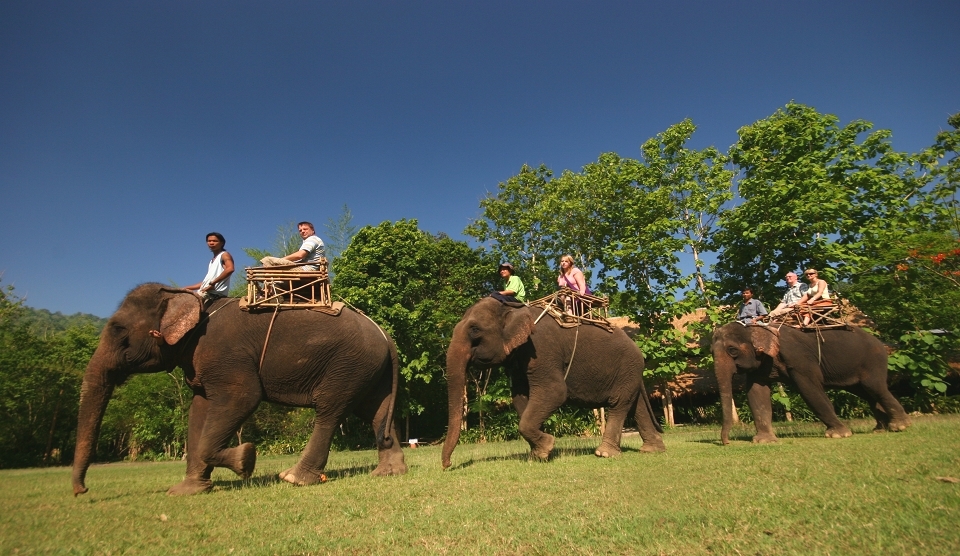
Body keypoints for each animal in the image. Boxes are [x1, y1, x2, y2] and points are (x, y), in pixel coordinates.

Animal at [71, 284, 406, 498]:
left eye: (118, 330)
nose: (81, 491)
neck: (191, 299)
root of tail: (385, 335)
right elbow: (198, 410)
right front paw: (186, 491)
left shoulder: (226, 355)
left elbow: (243, 397)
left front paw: (246, 459)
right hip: (367, 368)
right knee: (377, 412)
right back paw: (388, 473)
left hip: (347, 365)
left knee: (330, 410)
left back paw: (294, 479)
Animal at [440, 298, 660, 466]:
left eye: (475, 329)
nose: (448, 465)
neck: (514, 308)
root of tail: (638, 348)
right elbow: (520, 396)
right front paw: (539, 454)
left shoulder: (541, 348)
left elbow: (555, 392)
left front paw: (546, 447)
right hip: (629, 372)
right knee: (636, 405)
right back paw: (652, 449)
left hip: (627, 367)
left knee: (619, 403)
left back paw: (605, 453)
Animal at [712, 322, 908, 444]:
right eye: (711, 353)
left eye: (732, 350)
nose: (727, 442)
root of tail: (881, 342)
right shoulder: (761, 365)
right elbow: (756, 394)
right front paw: (764, 440)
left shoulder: (799, 357)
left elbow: (810, 389)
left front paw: (839, 434)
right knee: (867, 393)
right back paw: (880, 429)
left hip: (874, 360)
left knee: (875, 387)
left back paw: (900, 426)